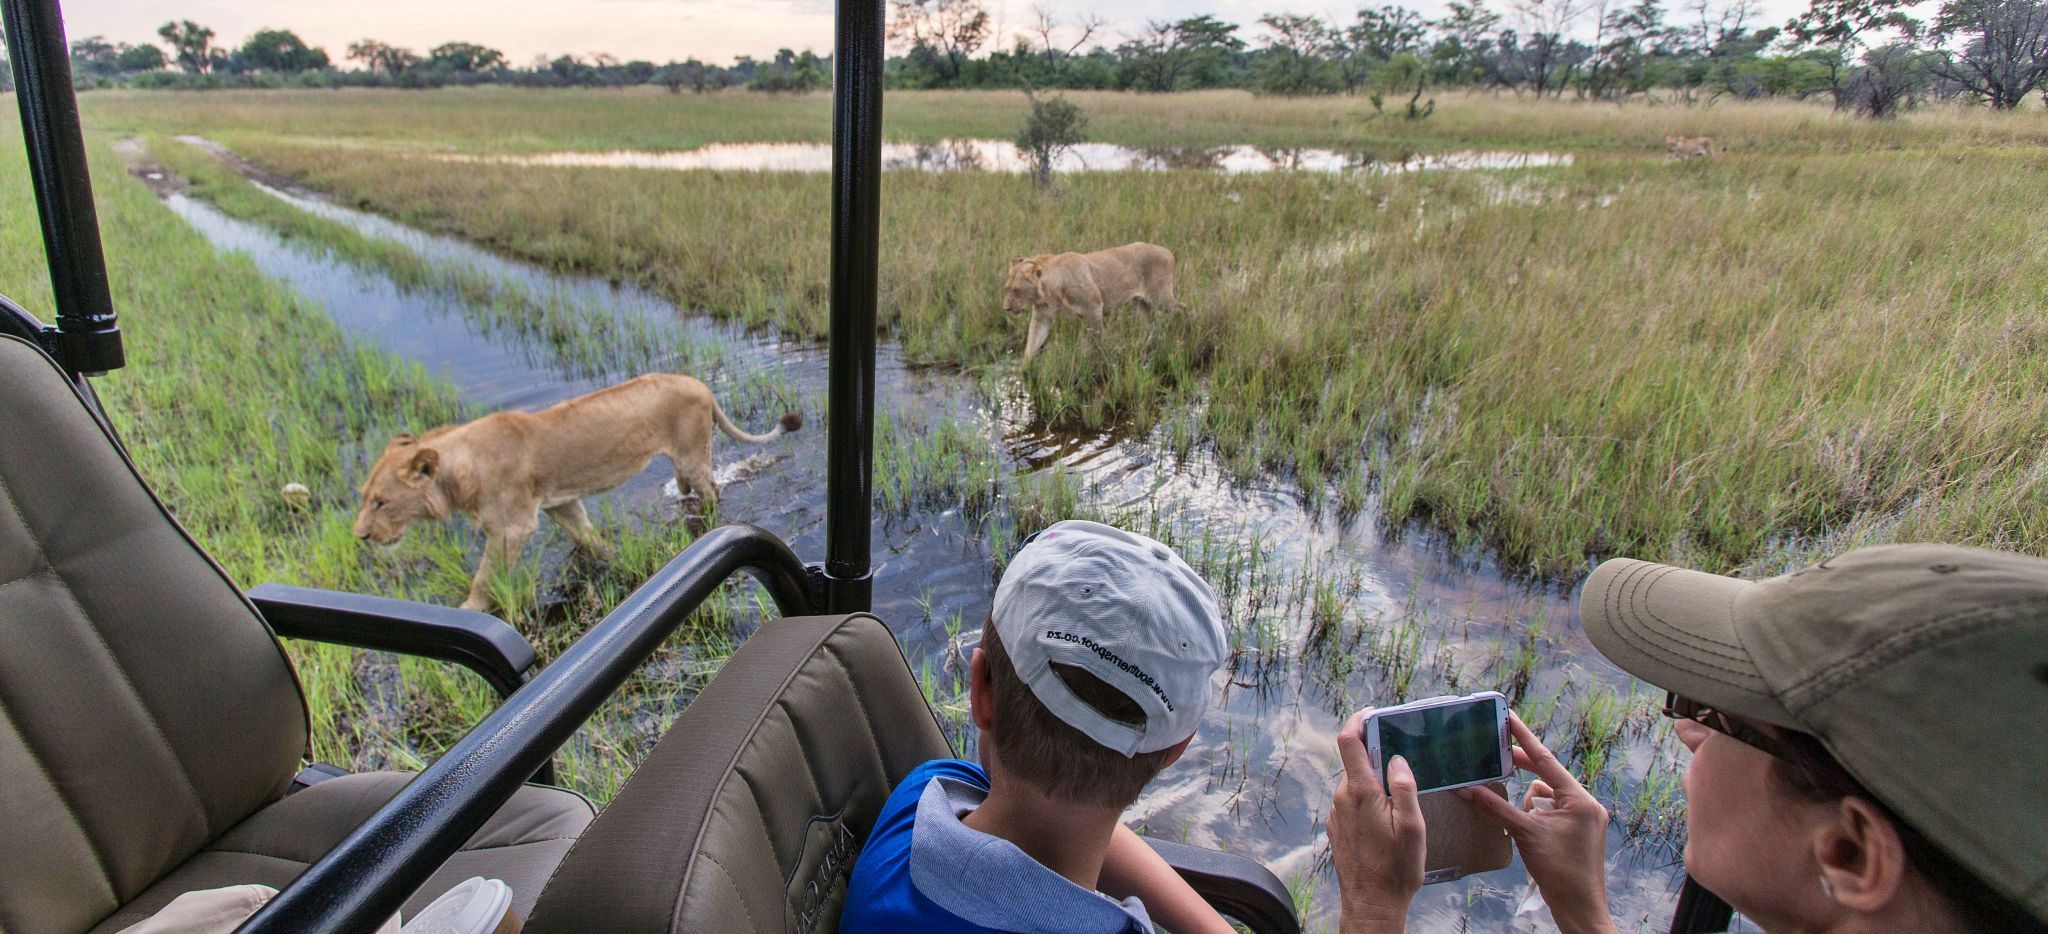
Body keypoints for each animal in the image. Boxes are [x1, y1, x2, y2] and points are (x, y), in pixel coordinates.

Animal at [352, 372, 798, 614]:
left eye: (381, 502)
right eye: (365, 496)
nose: (360, 536)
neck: (460, 470)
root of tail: (700, 384)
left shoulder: (513, 526)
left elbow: (485, 576)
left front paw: (469, 610)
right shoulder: (560, 502)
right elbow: (585, 536)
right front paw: (609, 558)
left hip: (691, 452)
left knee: (711, 490)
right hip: (684, 458)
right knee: (691, 485)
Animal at [995, 240, 1179, 364]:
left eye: (1017, 290)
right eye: (1007, 288)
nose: (1005, 308)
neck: (1048, 290)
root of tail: (1169, 251)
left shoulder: (1094, 308)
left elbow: (1098, 343)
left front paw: (1101, 363)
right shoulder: (1041, 317)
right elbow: (1031, 345)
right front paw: (1023, 372)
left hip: (1160, 298)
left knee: (1182, 309)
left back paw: (1184, 331)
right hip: (1141, 303)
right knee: (1150, 325)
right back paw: (1147, 344)